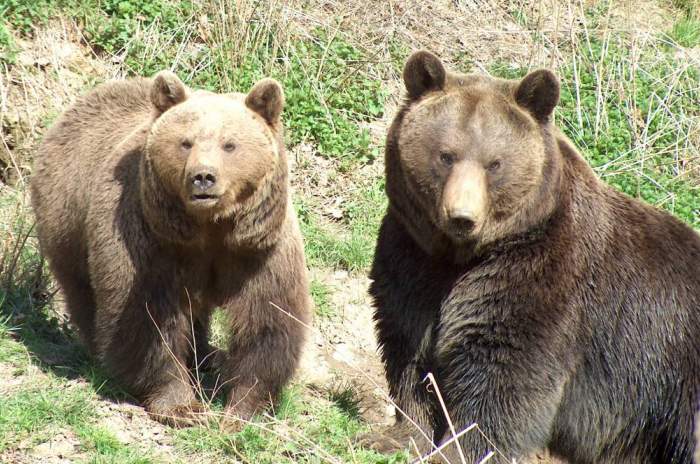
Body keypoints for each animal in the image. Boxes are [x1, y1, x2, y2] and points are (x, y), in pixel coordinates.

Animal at [30, 70, 308, 428]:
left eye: (230, 144)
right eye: (185, 142)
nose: (203, 177)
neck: (210, 227)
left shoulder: (258, 248)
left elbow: (267, 319)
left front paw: (243, 409)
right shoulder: (150, 240)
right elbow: (147, 320)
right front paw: (183, 406)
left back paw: (207, 356)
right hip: (67, 220)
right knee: (83, 291)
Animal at [366, 49, 700, 462]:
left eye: (494, 163)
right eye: (446, 155)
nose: (462, 216)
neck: (464, 255)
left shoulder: (542, 276)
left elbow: (505, 377)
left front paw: (464, 447)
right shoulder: (413, 257)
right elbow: (410, 352)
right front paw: (400, 435)